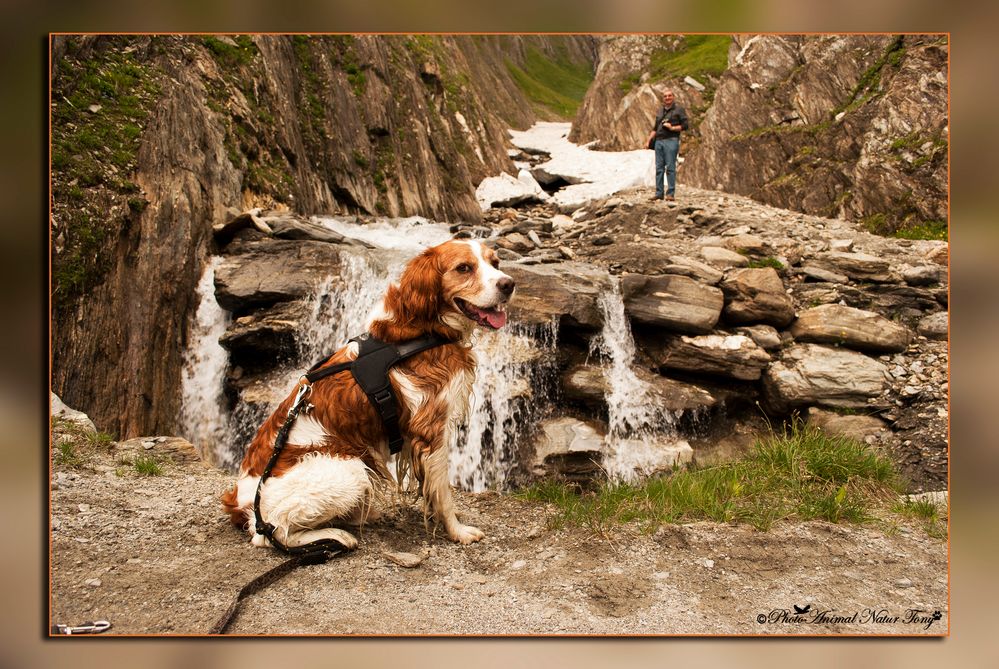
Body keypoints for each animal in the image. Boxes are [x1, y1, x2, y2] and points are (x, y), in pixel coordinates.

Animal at [220, 239, 516, 548]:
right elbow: (443, 493)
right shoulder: (432, 429)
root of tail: (241, 501)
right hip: (348, 470)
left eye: (495, 263)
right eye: (464, 268)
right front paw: (457, 531)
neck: (421, 330)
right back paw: (337, 535)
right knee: (270, 533)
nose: (509, 284)